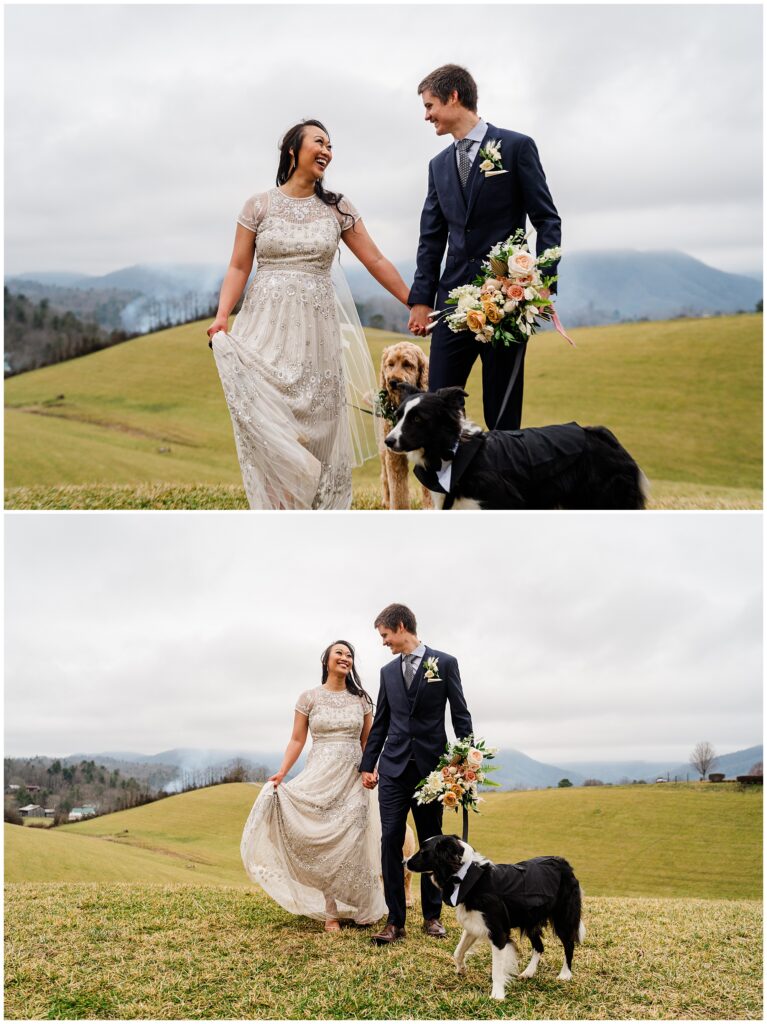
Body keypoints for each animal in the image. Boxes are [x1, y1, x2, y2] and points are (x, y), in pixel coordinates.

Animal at [376, 342, 430, 509]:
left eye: (407, 364)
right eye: (390, 364)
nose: (392, 381)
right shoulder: (394, 456)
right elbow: (398, 491)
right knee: (384, 477)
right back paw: (387, 501)